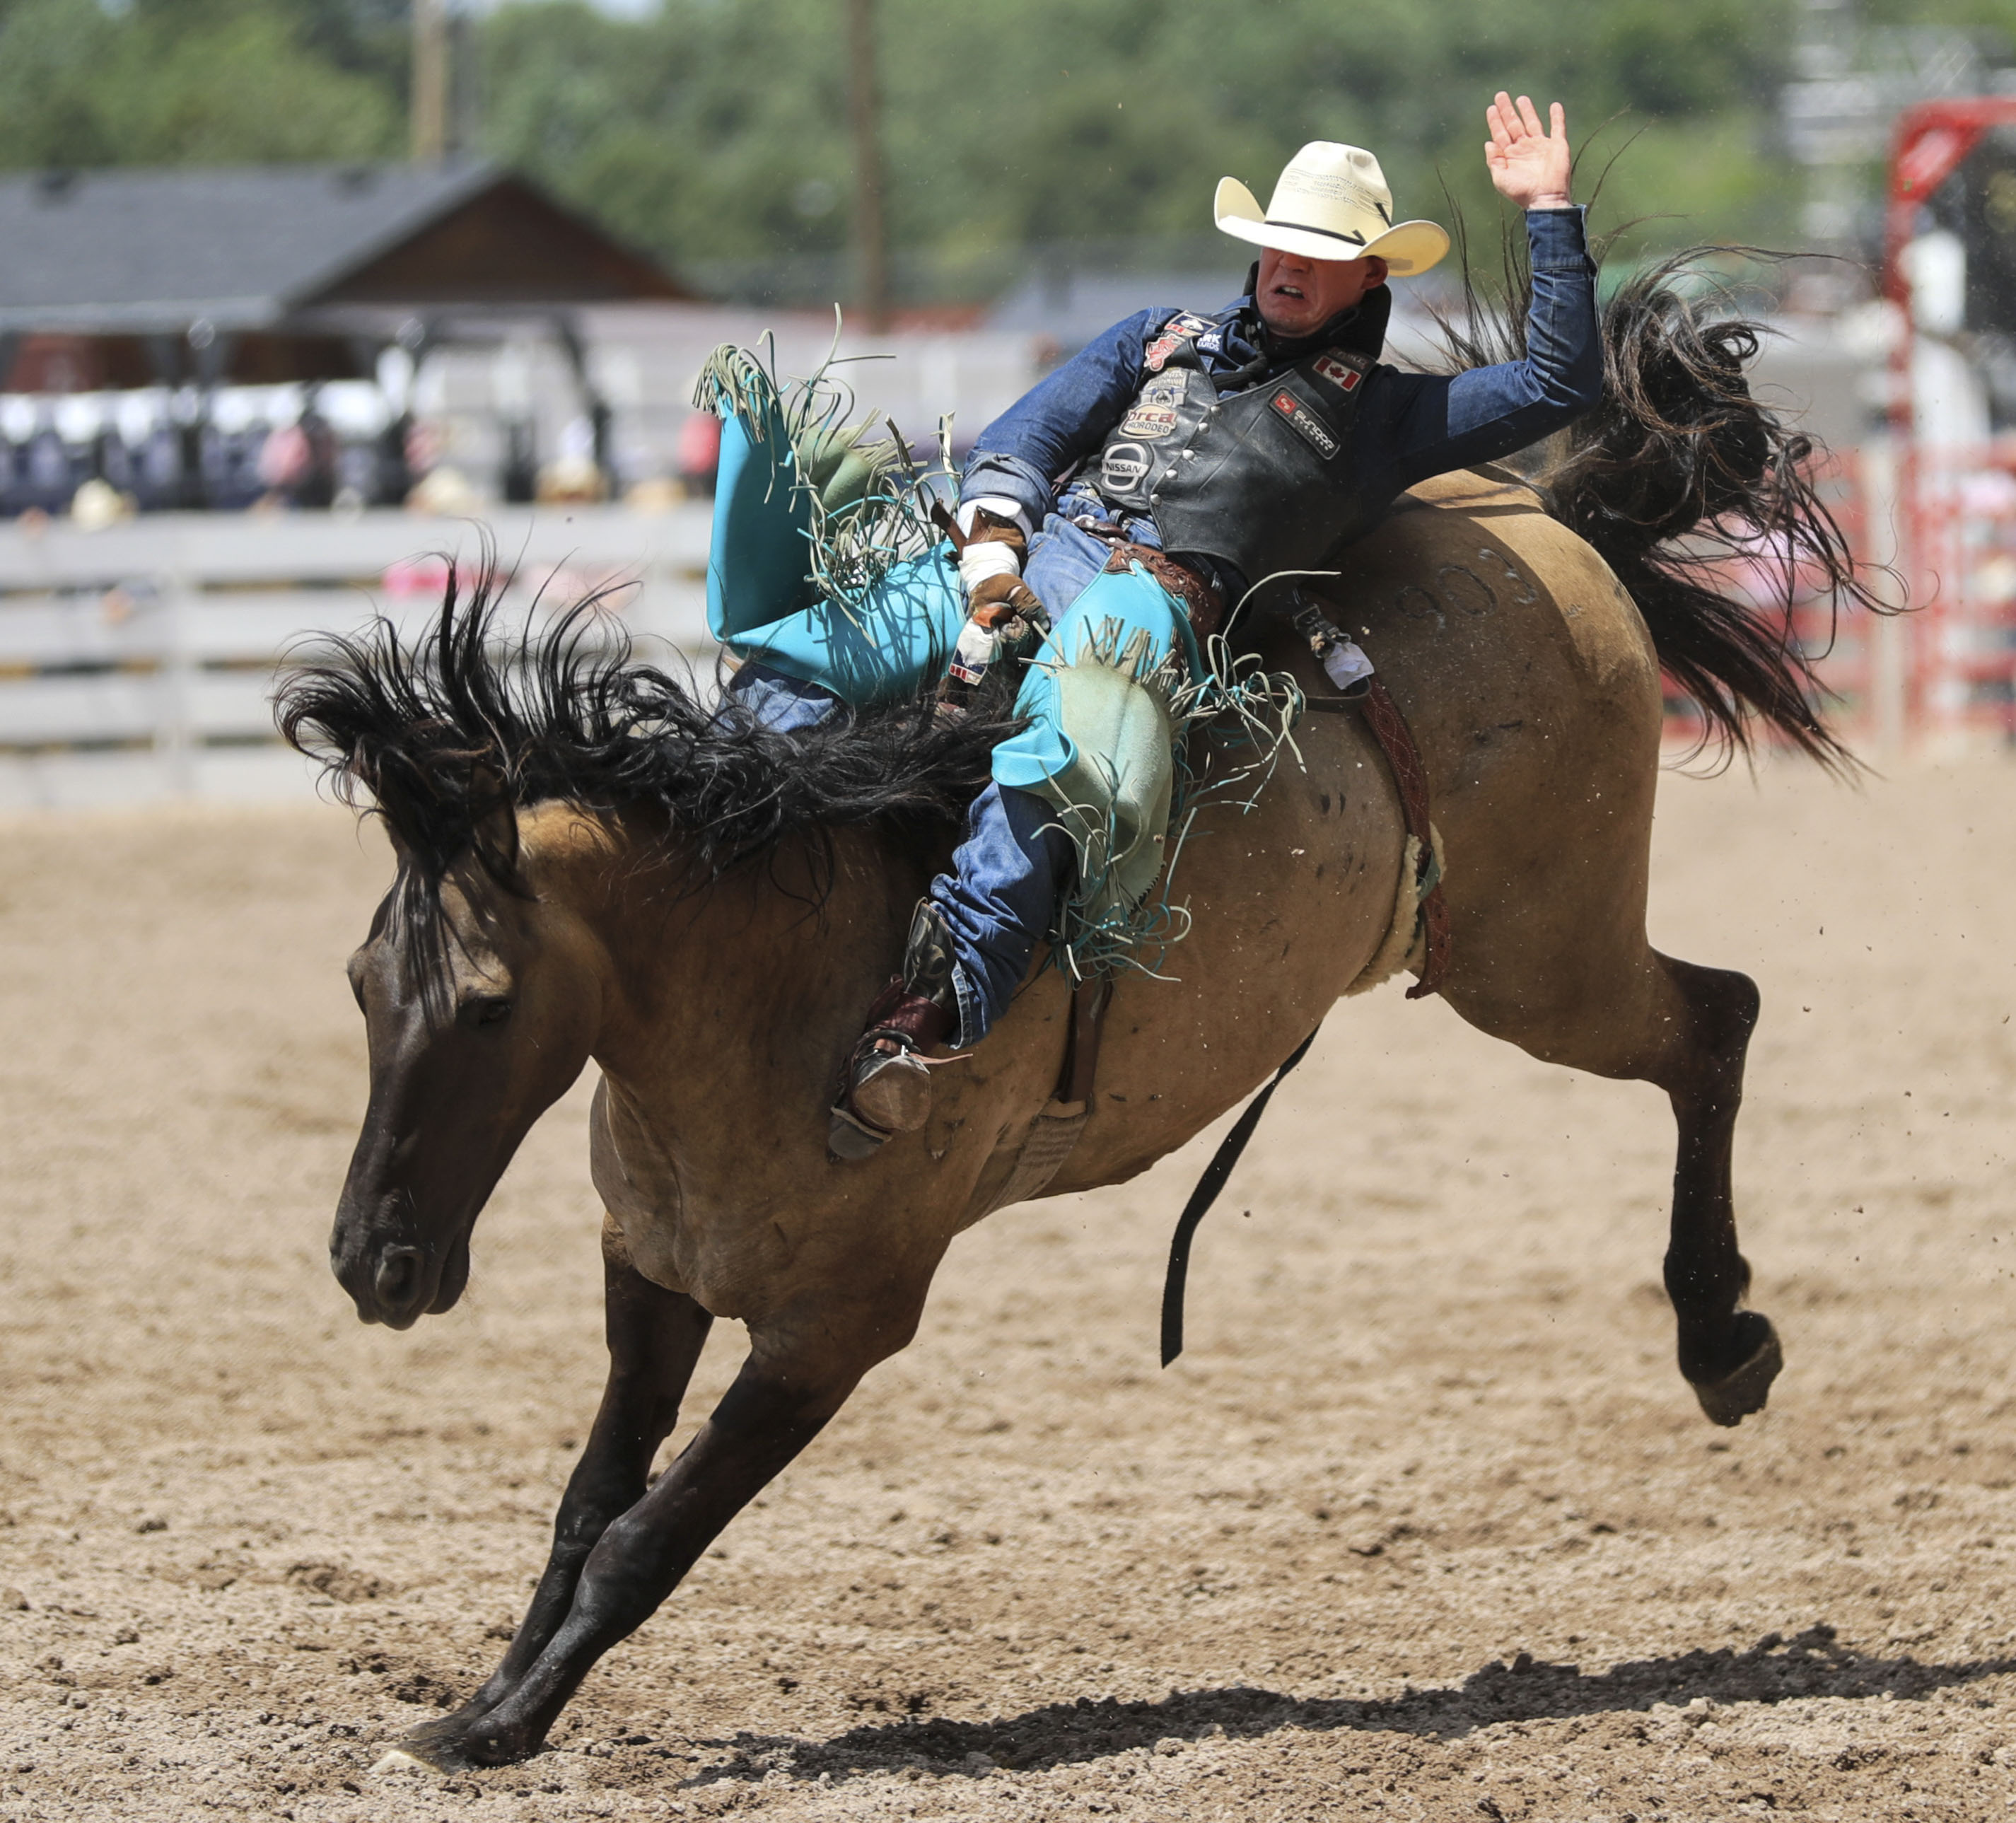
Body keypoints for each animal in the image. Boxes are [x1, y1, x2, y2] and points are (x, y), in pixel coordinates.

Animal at [280, 260, 1870, 1766]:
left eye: (489, 1005)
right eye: (361, 983)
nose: (372, 1262)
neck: (766, 977)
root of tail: (1543, 512)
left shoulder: (839, 1325)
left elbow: (641, 1538)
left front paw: (497, 1723)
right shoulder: (653, 1266)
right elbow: (585, 1501)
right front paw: (486, 1704)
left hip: (1541, 960)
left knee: (1715, 1021)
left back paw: (1723, 1342)